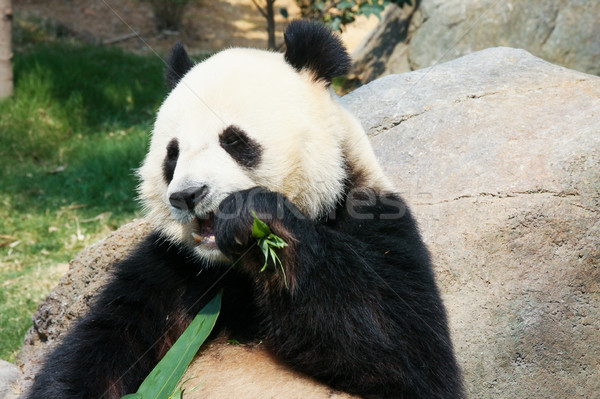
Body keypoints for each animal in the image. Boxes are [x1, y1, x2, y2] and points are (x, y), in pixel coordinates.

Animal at [27, 21, 464, 399]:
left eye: (234, 141)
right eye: (172, 154)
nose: (187, 195)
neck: (234, 268)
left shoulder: (375, 221)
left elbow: (404, 350)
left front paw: (256, 220)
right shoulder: (172, 270)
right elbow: (101, 350)